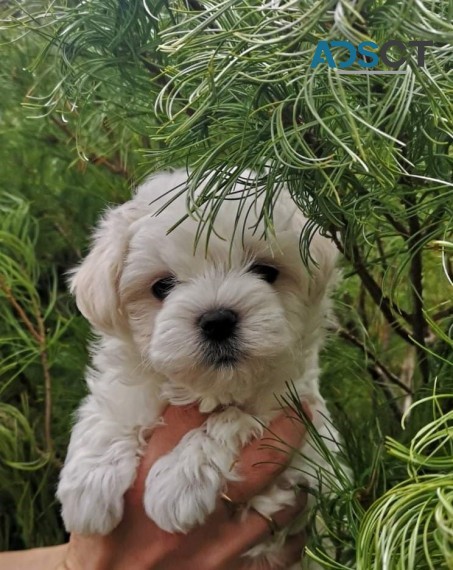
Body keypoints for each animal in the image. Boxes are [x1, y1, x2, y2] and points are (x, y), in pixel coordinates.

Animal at [56, 170, 340, 568]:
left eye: (266, 271)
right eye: (162, 286)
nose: (217, 320)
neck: (208, 389)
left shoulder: (298, 424)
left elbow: (235, 419)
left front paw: (178, 483)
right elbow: (114, 404)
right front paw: (88, 486)